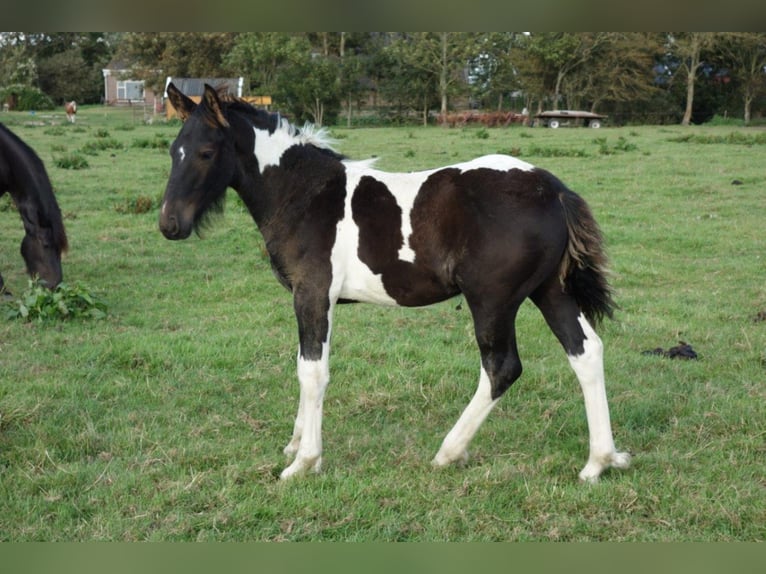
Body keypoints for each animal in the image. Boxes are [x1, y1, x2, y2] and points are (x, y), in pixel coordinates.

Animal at [160, 83, 632, 484]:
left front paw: (304, 462)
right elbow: (303, 362)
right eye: (172, 150)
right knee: (586, 352)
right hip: (549, 290)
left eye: (206, 152)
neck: (304, 195)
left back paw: (448, 453)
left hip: (492, 300)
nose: (169, 224)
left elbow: (312, 371)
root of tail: (552, 190)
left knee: (502, 367)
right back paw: (599, 462)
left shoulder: (313, 294)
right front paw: (294, 445)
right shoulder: (309, 299)